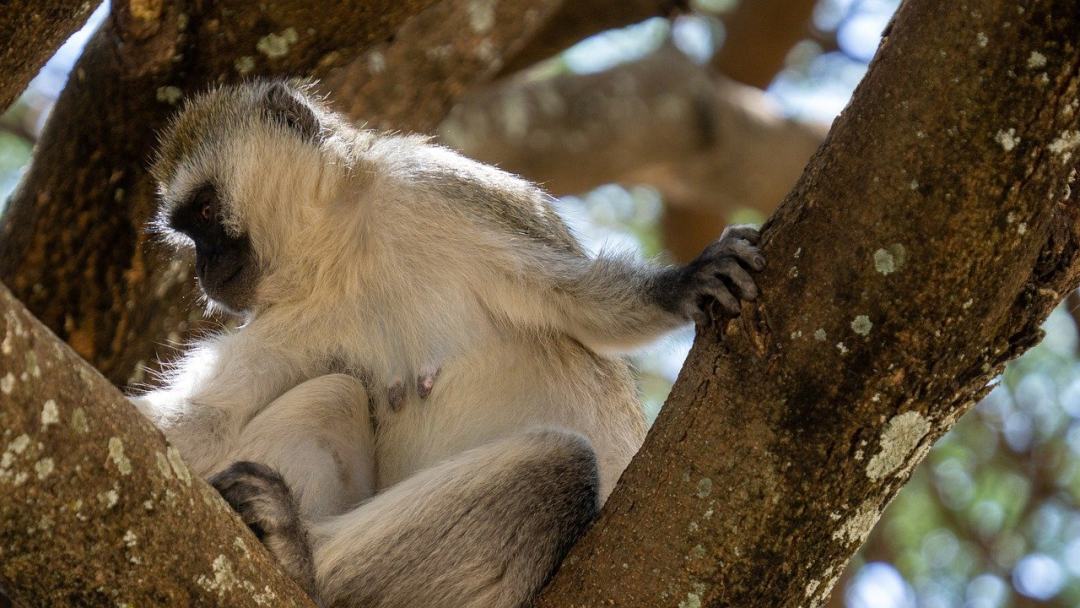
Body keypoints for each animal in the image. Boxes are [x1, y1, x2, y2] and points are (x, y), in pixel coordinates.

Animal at [130, 82, 764, 608]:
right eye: (189, 231)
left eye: (206, 210)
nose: (205, 268)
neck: (345, 243)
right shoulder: (294, 316)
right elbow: (207, 419)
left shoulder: (438, 189)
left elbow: (578, 301)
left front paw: (679, 286)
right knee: (335, 391)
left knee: (562, 466)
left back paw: (301, 559)